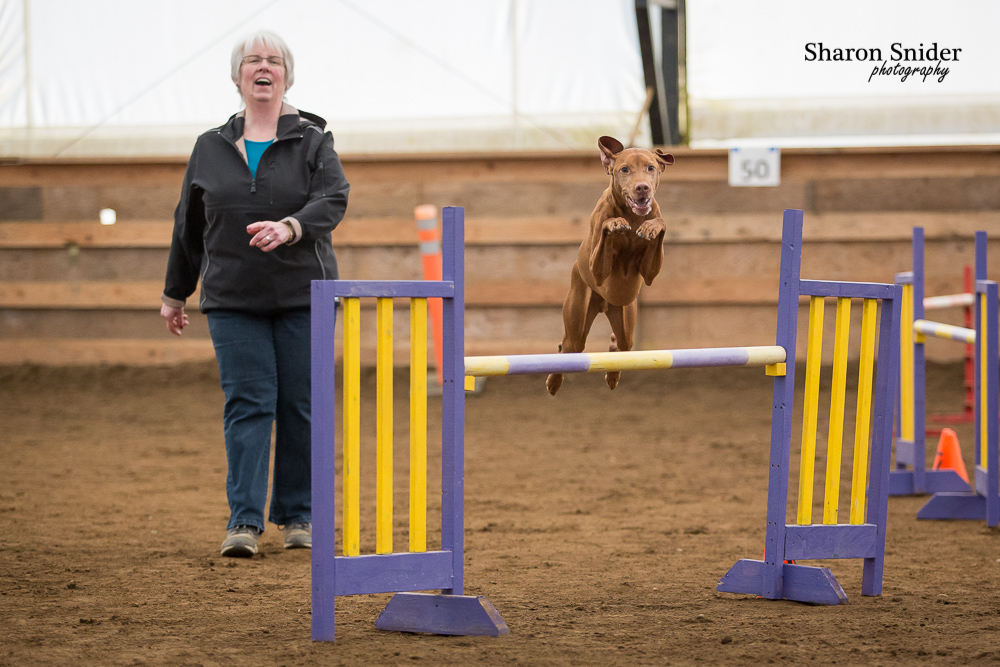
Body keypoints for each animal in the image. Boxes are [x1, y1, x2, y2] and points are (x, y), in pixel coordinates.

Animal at [544, 137, 676, 396]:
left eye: (650, 168)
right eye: (624, 170)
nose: (642, 188)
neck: (632, 214)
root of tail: (604, 305)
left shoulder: (649, 273)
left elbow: (660, 224)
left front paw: (651, 227)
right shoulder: (598, 271)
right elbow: (607, 227)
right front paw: (615, 223)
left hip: (625, 316)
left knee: (622, 347)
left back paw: (613, 368)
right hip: (578, 315)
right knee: (567, 346)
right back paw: (553, 381)